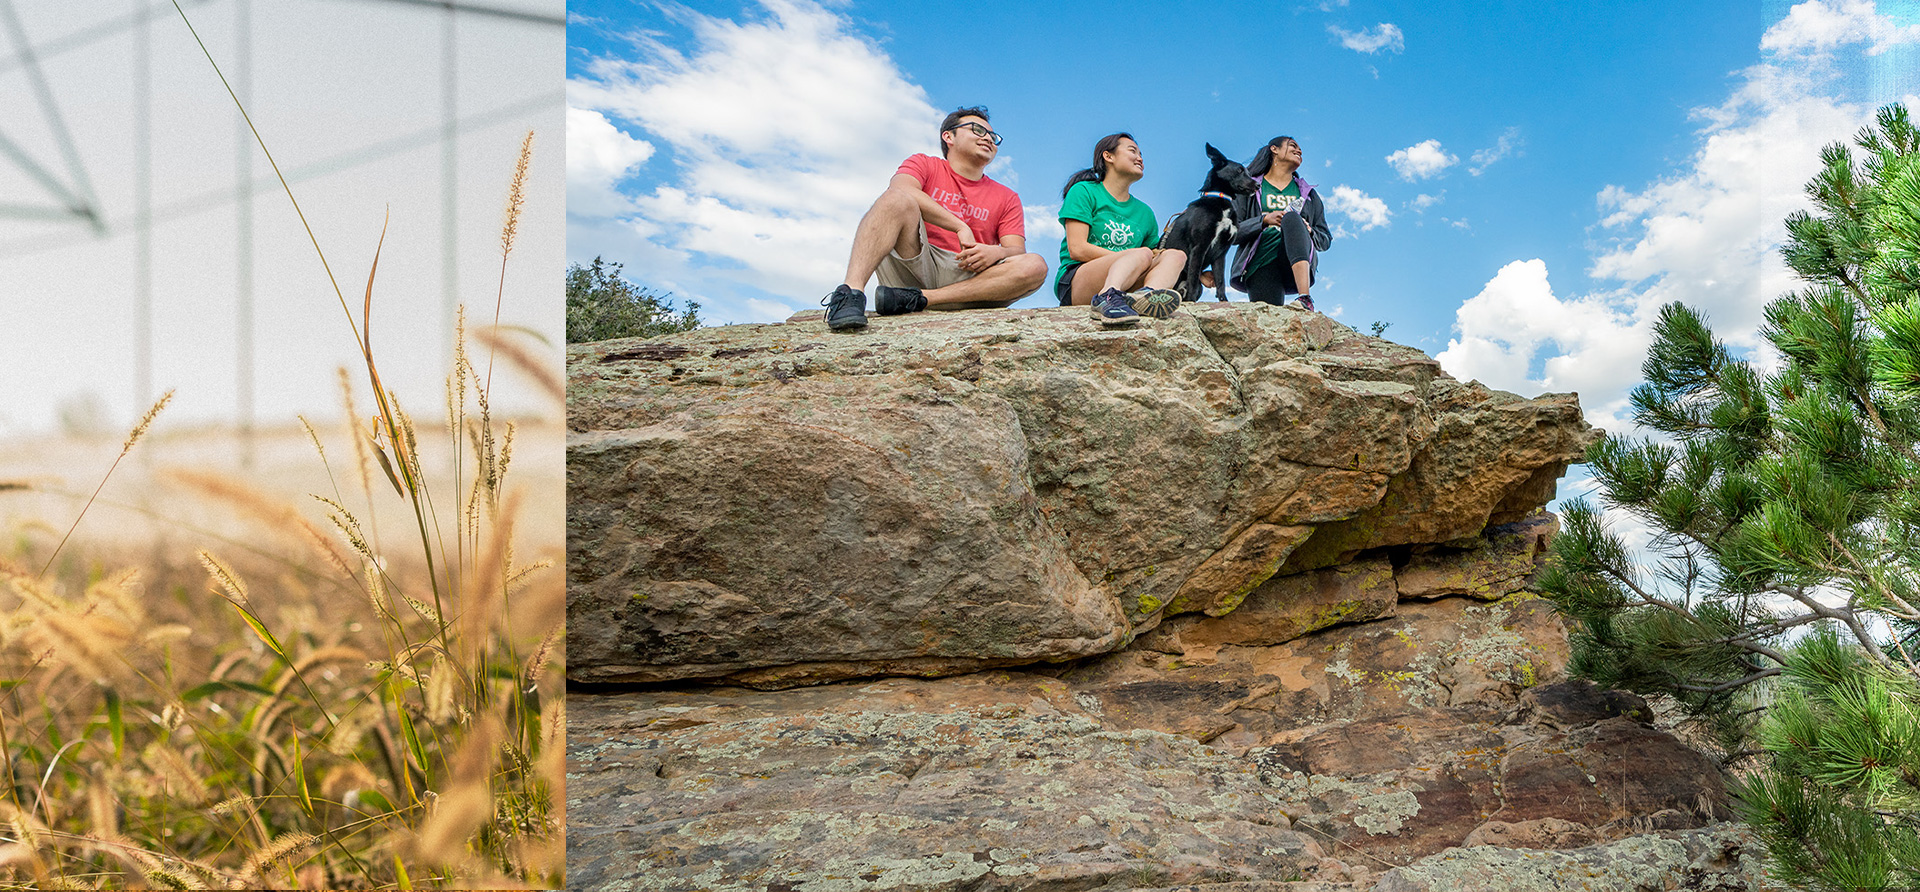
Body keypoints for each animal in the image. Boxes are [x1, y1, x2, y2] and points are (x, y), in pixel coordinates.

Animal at [1152, 143, 1259, 301]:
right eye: (1239, 170)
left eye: (1249, 173)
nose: (1258, 185)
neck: (1221, 201)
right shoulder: (1199, 247)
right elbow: (1193, 278)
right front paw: (1192, 300)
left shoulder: (1221, 253)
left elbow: (1220, 281)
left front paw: (1223, 301)